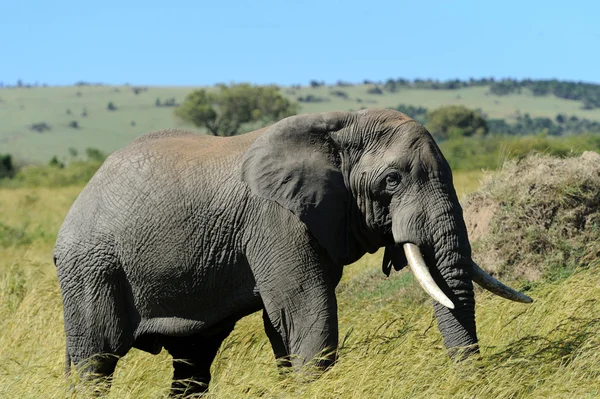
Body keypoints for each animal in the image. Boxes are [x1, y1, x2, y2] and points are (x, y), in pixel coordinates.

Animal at [52, 107, 528, 396]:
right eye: (392, 181)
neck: (341, 126)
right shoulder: (276, 222)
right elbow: (307, 318)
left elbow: (284, 327)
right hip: (91, 268)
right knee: (95, 361)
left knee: (192, 364)